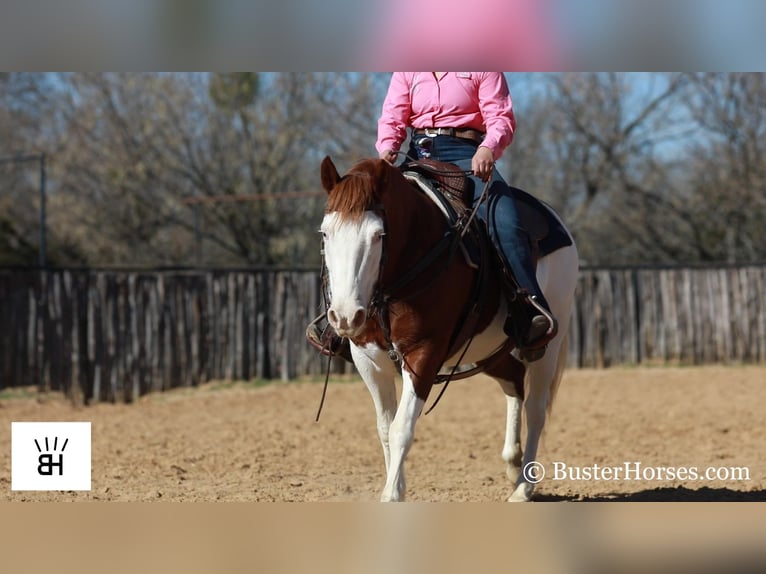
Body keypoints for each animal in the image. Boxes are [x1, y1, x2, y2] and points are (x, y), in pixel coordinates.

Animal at [320, 155, 580, 502]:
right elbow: (385, 428)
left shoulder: (423, 356)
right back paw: (513, 465)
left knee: (536, 409)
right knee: (514, 382)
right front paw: (394, 486)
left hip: (549, 343)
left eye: (378, 235)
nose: (345, 316)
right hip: (488, 349)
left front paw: (392, 494)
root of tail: (556, 221)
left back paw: (524, 488)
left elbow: (402, 427)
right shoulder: (367, 359)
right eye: (325, 233)